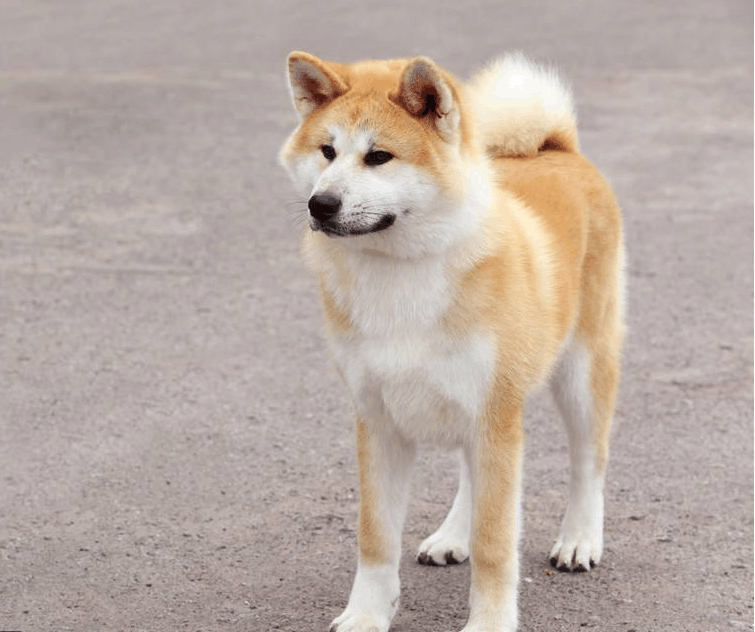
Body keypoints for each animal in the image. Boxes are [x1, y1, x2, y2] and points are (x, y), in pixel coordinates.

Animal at [278, 50, 628, 632]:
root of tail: (555, 147)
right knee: (472, 475)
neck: (400, 275)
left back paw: (579, 539)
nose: (320, 204)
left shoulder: (494, 418)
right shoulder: (380, 422)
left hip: (579, 374)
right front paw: (367, 614)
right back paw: (452, 535)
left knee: (589, 460)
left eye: (379, 157)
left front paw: (489, 622)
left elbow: (495, 544)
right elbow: (375, 538)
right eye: (327, 151)